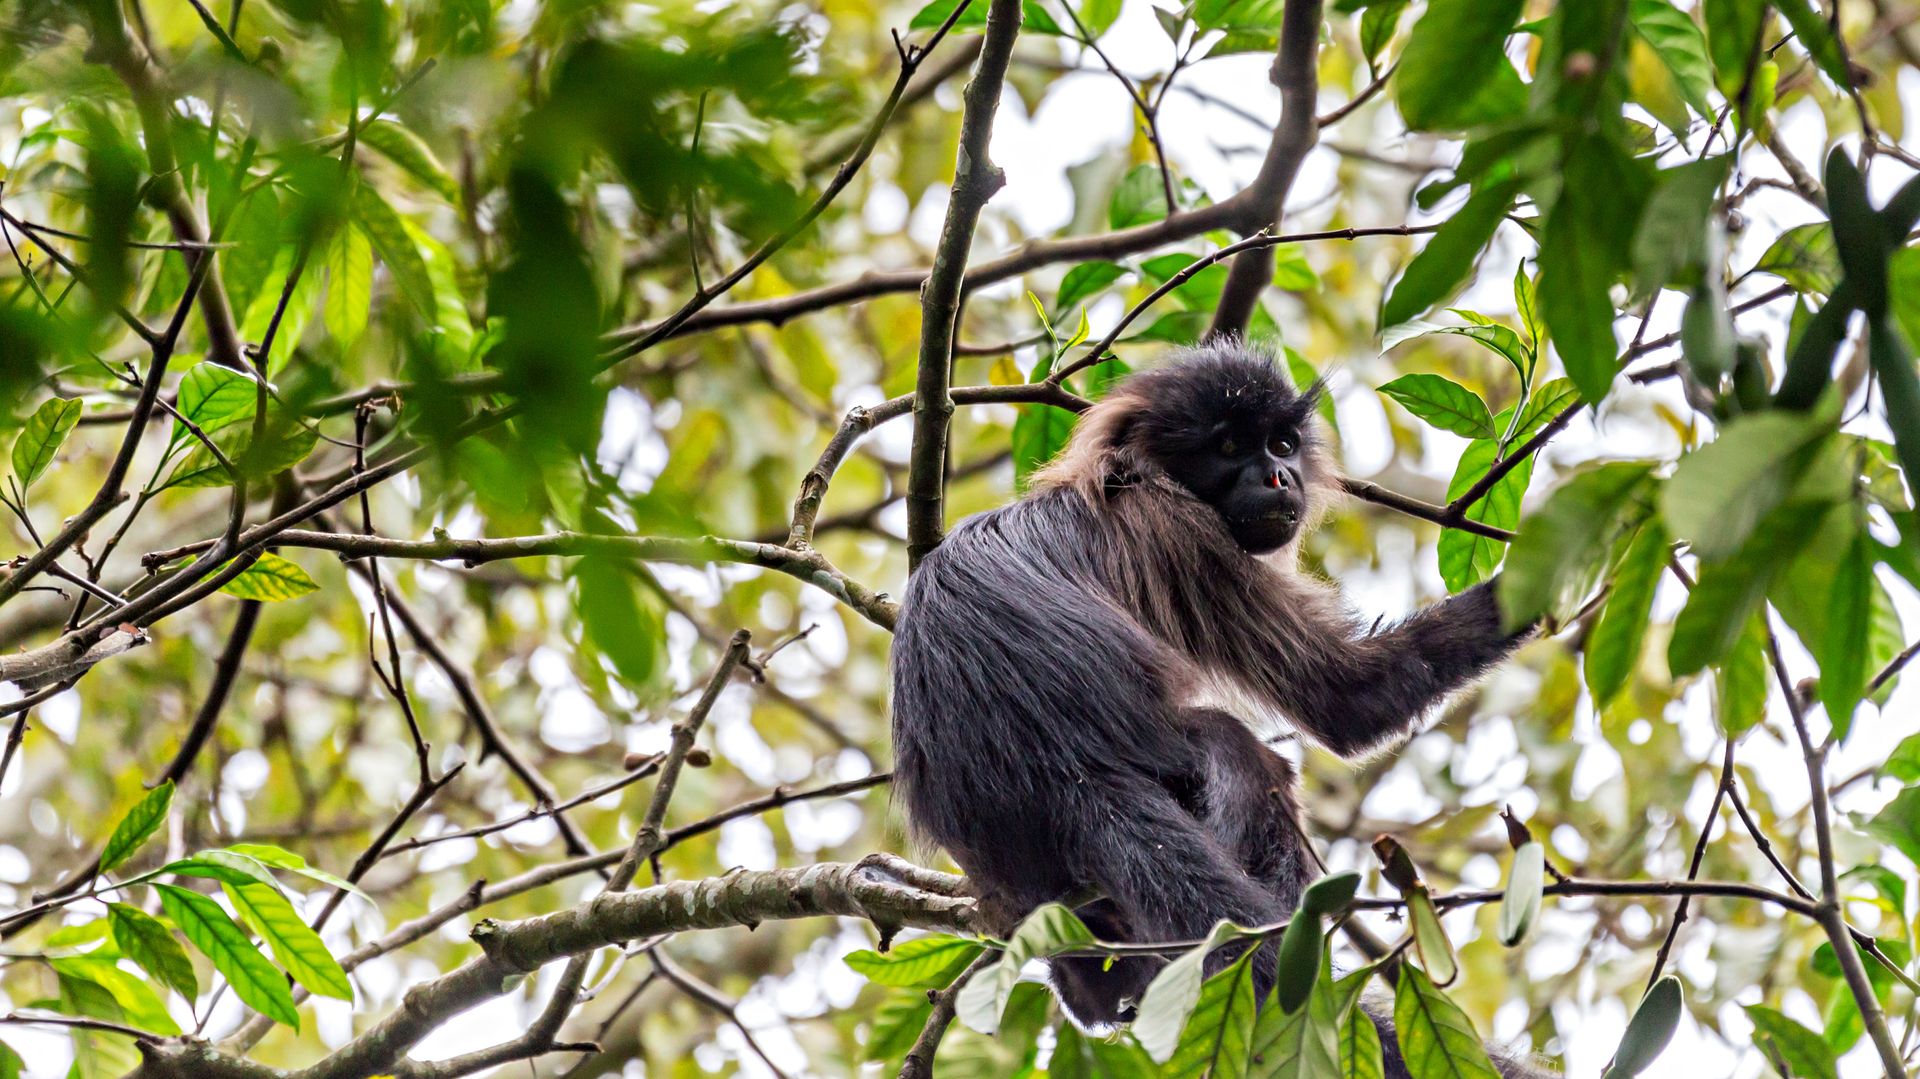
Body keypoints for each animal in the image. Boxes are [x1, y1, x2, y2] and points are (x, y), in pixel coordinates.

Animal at [889, 344, 1543, 1074]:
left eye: (1281, 443)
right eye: (1230, 446)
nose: (1280, 475)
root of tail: (1063, 773)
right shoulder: (1182, 530)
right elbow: (1351, 697)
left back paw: (1092, 987)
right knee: (1242, 754)